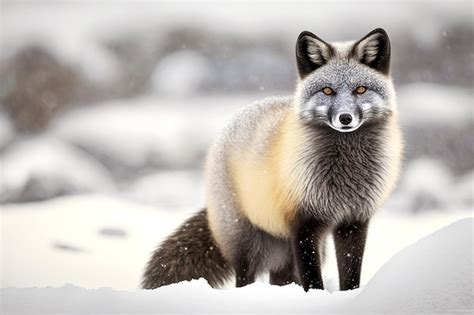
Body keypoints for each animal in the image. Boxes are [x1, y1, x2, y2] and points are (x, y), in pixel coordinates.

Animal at [142, 28, 404, 292]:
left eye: (360, 90)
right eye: (327, 91)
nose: (345, 118)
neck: (346, 177)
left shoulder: (354, 221)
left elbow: (350, 275)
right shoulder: (303, 223)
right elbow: (312, 278)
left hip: (289, 252)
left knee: (281, 278)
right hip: (247, 244)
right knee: (244, 278)